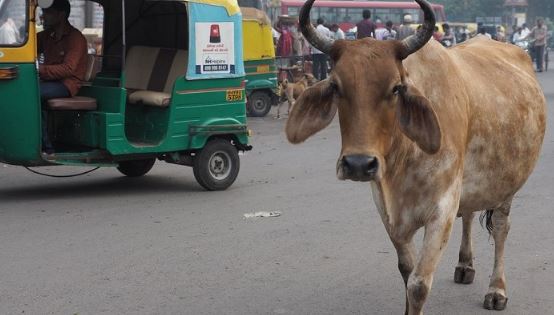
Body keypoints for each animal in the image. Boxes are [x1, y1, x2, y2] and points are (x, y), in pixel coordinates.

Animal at [284, 0, 544, 314]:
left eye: (396, 88)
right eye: (335, 86)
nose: (358, 164)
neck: (403, 158)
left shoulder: (443, 207)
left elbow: (418, 284)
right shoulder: (388, 210)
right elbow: (407, 271)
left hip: (508, 183)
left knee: (502, 229)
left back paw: (497, 290)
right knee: (469, 214)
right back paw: (465, 265)